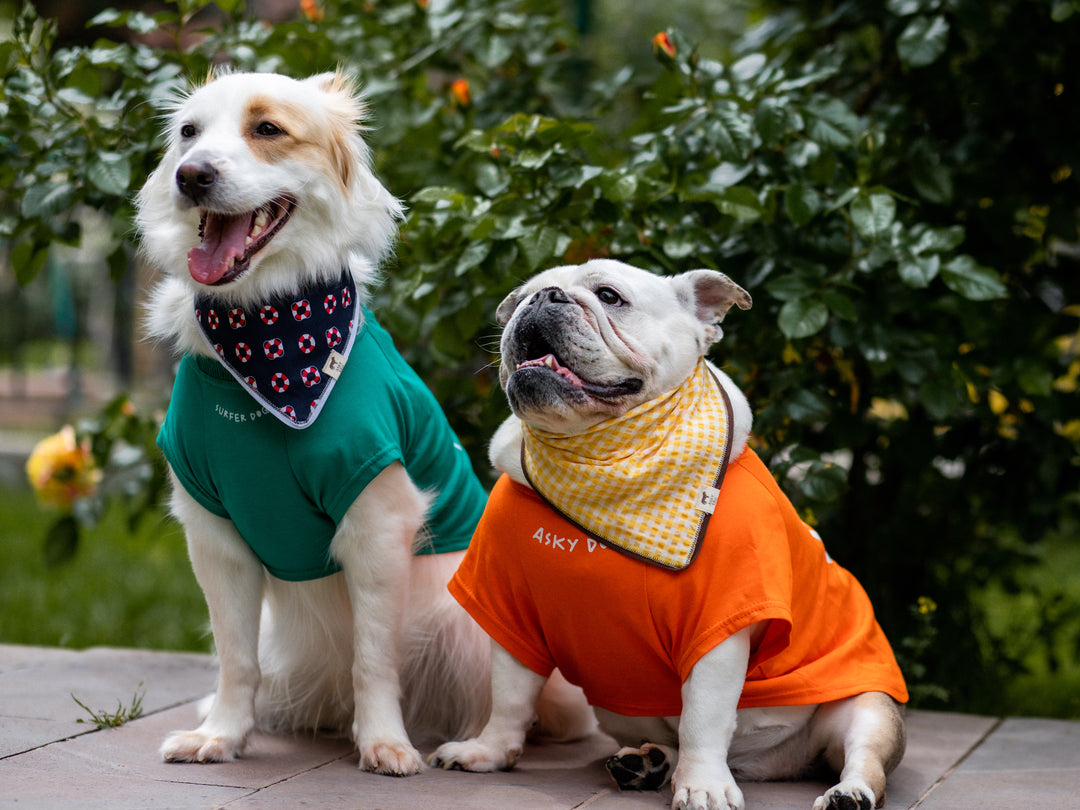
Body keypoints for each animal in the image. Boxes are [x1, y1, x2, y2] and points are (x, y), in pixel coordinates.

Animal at [427, 261, 902, 810]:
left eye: (609, 296)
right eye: (522, 296)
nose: (544, 298)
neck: (602, 458)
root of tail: (770, 766)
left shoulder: (719, 627)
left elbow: (703, 716)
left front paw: (703, 785)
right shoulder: (510, 609)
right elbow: (509, 695)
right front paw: (488, 751)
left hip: (867, 708)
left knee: (863, 755)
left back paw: (847, 792)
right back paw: (648, 763)